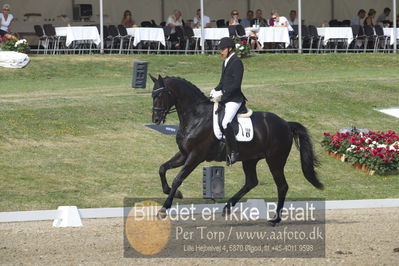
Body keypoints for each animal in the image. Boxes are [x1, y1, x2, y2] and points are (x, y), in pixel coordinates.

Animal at [152, 75, 324, 224]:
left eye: (160, 95)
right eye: (152, 95)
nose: (155, 119)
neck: (196, 116)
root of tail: (286, 124)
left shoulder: (195, 156)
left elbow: (178, 178)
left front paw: (164, 208)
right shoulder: (184, 154)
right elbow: (162, 168)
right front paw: (175, 193)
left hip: (275, 160)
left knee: (282, 186)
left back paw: (275, 219)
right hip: (250, 159)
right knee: (251, 182)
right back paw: (228, 207)